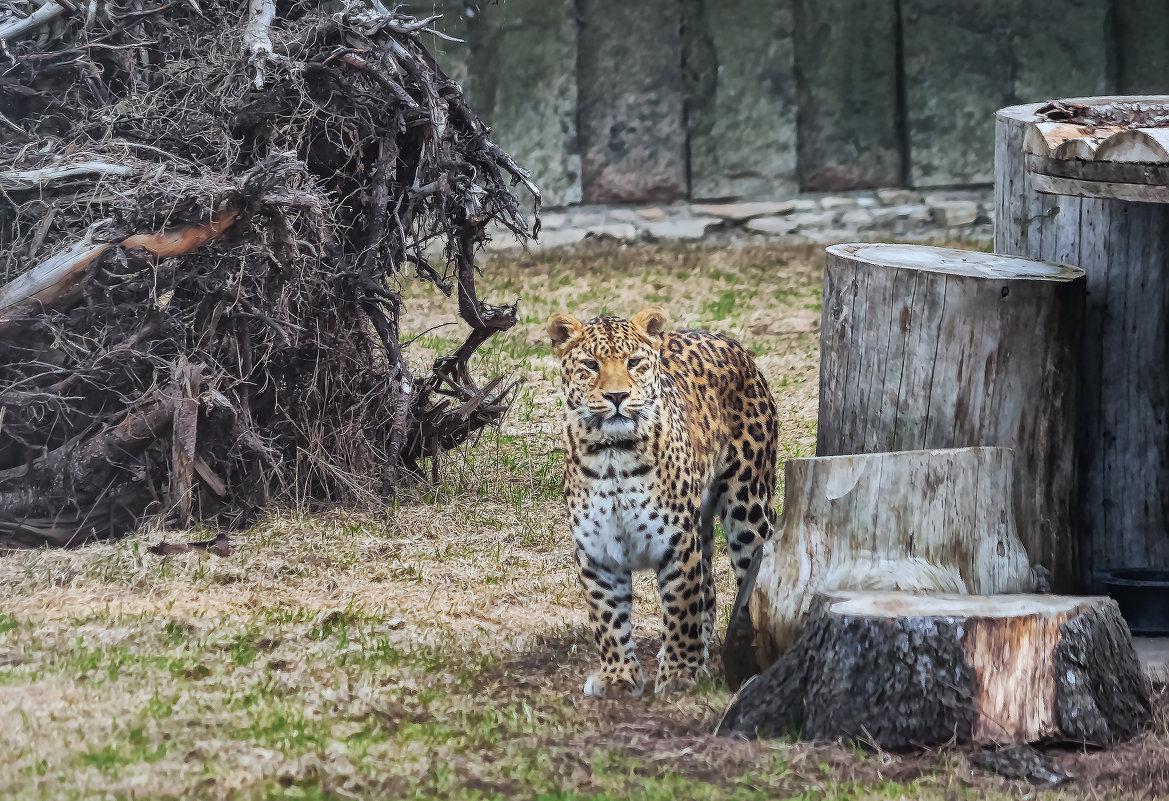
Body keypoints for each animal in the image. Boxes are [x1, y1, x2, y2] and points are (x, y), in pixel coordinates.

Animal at [544, 306, 776, 692]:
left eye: (634, 362)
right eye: (591, 365)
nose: (617, 397)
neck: (614, 456)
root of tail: (730, 341)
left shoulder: (678, 542)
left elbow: (682, 607)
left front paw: (680, 673)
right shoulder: (597, 551)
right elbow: (608, 618)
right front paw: (618, 676)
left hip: (748, 506)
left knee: (755, 575)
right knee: (709, 588)